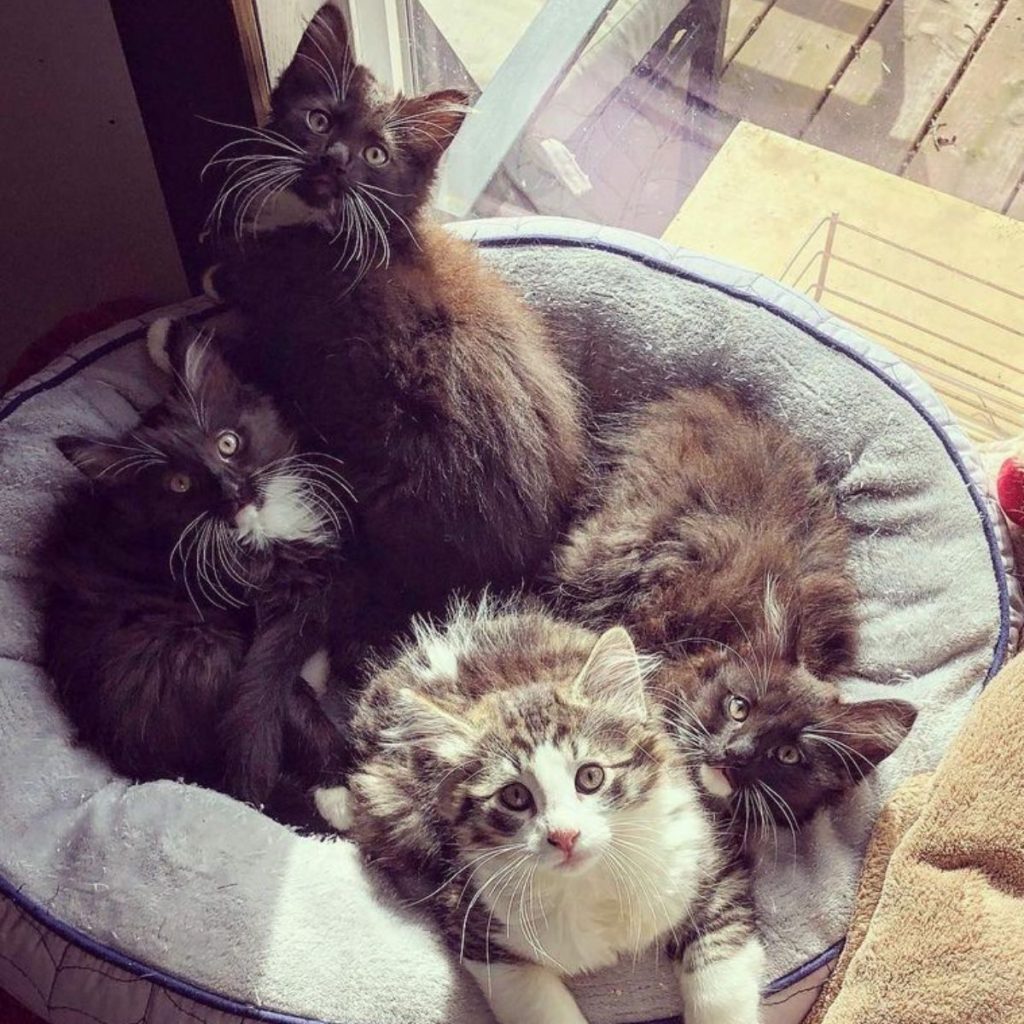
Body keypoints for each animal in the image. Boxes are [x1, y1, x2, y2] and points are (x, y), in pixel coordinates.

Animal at [41, 319, 352, 815]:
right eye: (180, 483)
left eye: (227, 443)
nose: (233, 489)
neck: (256, 531)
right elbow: (272, 690)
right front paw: (340, 787)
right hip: (193, 645)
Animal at [319, 598, 761, 1024]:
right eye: (515, 796)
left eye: (590, 777)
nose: (564, 836)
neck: (589, 882)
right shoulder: (477, 925)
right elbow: (540, 1004)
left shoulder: (711, 866)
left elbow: (719, 988)